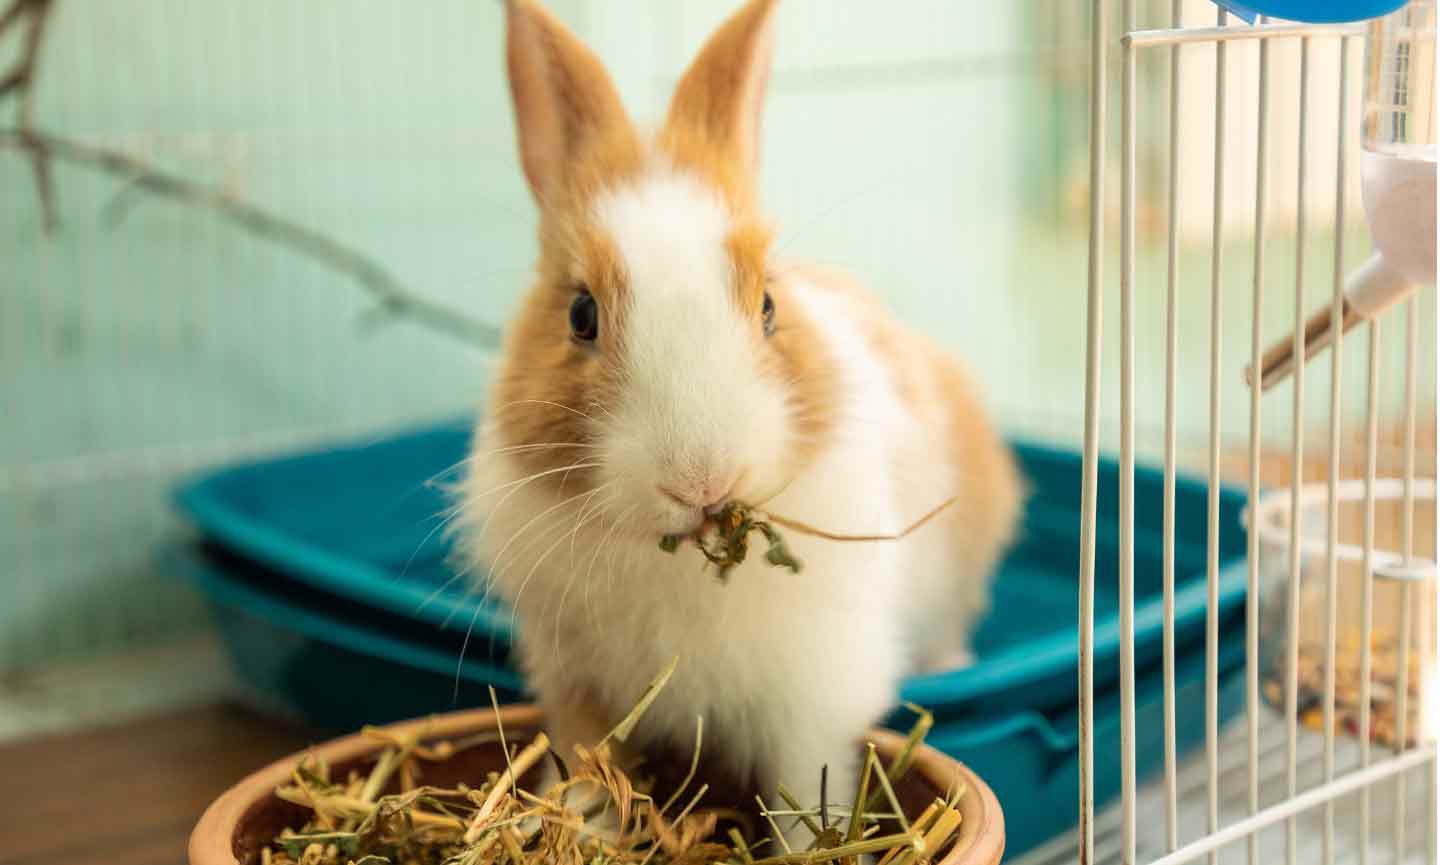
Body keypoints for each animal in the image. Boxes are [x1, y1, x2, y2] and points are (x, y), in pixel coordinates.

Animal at [456, 0, 1023, 844]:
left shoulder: (810, 697)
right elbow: (591, 771)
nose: (703, 479)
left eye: (768, 306)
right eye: (581, 314)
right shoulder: (577, 686)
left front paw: (805, 844)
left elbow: (805, 794)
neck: (679, 563)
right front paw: (586, 830)